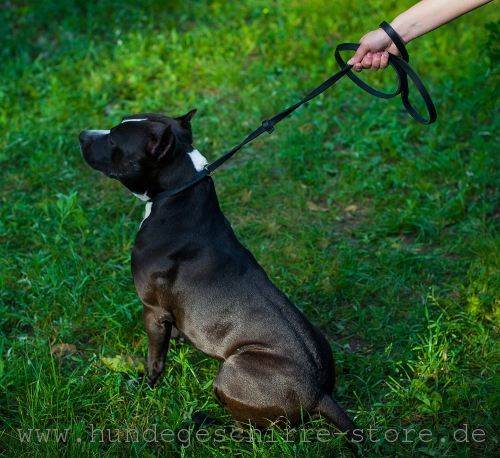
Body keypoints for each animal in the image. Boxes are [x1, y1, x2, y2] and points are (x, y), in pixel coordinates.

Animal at [80, 110, 360, 450]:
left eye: (112, 140)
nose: (81, 134)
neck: (180, 190)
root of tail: (321, 394)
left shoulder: (153, 311)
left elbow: (155, 360)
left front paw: (144, 388)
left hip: (232, 372)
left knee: (251, 432)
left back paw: (205, 422)